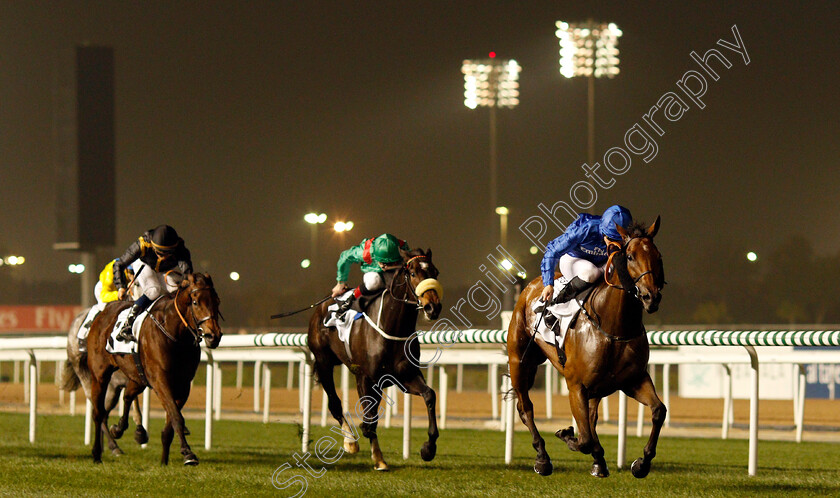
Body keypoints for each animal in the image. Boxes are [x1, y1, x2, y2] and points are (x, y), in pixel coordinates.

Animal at [85, 272, 221, 462]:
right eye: (195, 302)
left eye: (217, 301)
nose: (213, 336)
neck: (175, 333)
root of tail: (104, 312)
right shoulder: (160, 380)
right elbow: (176, 417)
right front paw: (188, 453)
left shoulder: (183, 384)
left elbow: (170, 423)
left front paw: (165, 460)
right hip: (100, 375)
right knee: (98, 413)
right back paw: (97, 453)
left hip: (138, 377)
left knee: (127, 396)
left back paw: (123, 429)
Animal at [306, 249, 440, 470]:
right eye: (412, 273)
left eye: (435, 272)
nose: (433, 307)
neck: (392, 327)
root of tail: (322, 305)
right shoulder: (365, 377)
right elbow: (369, 418)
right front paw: (369, 444)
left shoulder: (404, 375)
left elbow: (429, 394)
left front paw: (428, 448)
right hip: (324, 362)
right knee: (335, 403)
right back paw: (351, 441)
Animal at [508, 218, 668, 478]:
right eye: (630, 256)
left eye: (658, 256)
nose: (650, 297)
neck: (614, 328)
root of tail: (532, 285)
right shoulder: (576, 385)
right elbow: (583, 438)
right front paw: (566, 434)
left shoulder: (633, 379)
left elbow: (658, 410)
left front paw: (641, 463)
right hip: (519, 361)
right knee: (526, 408)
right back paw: (543, 458)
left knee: (591, 417)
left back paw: (598, 462)